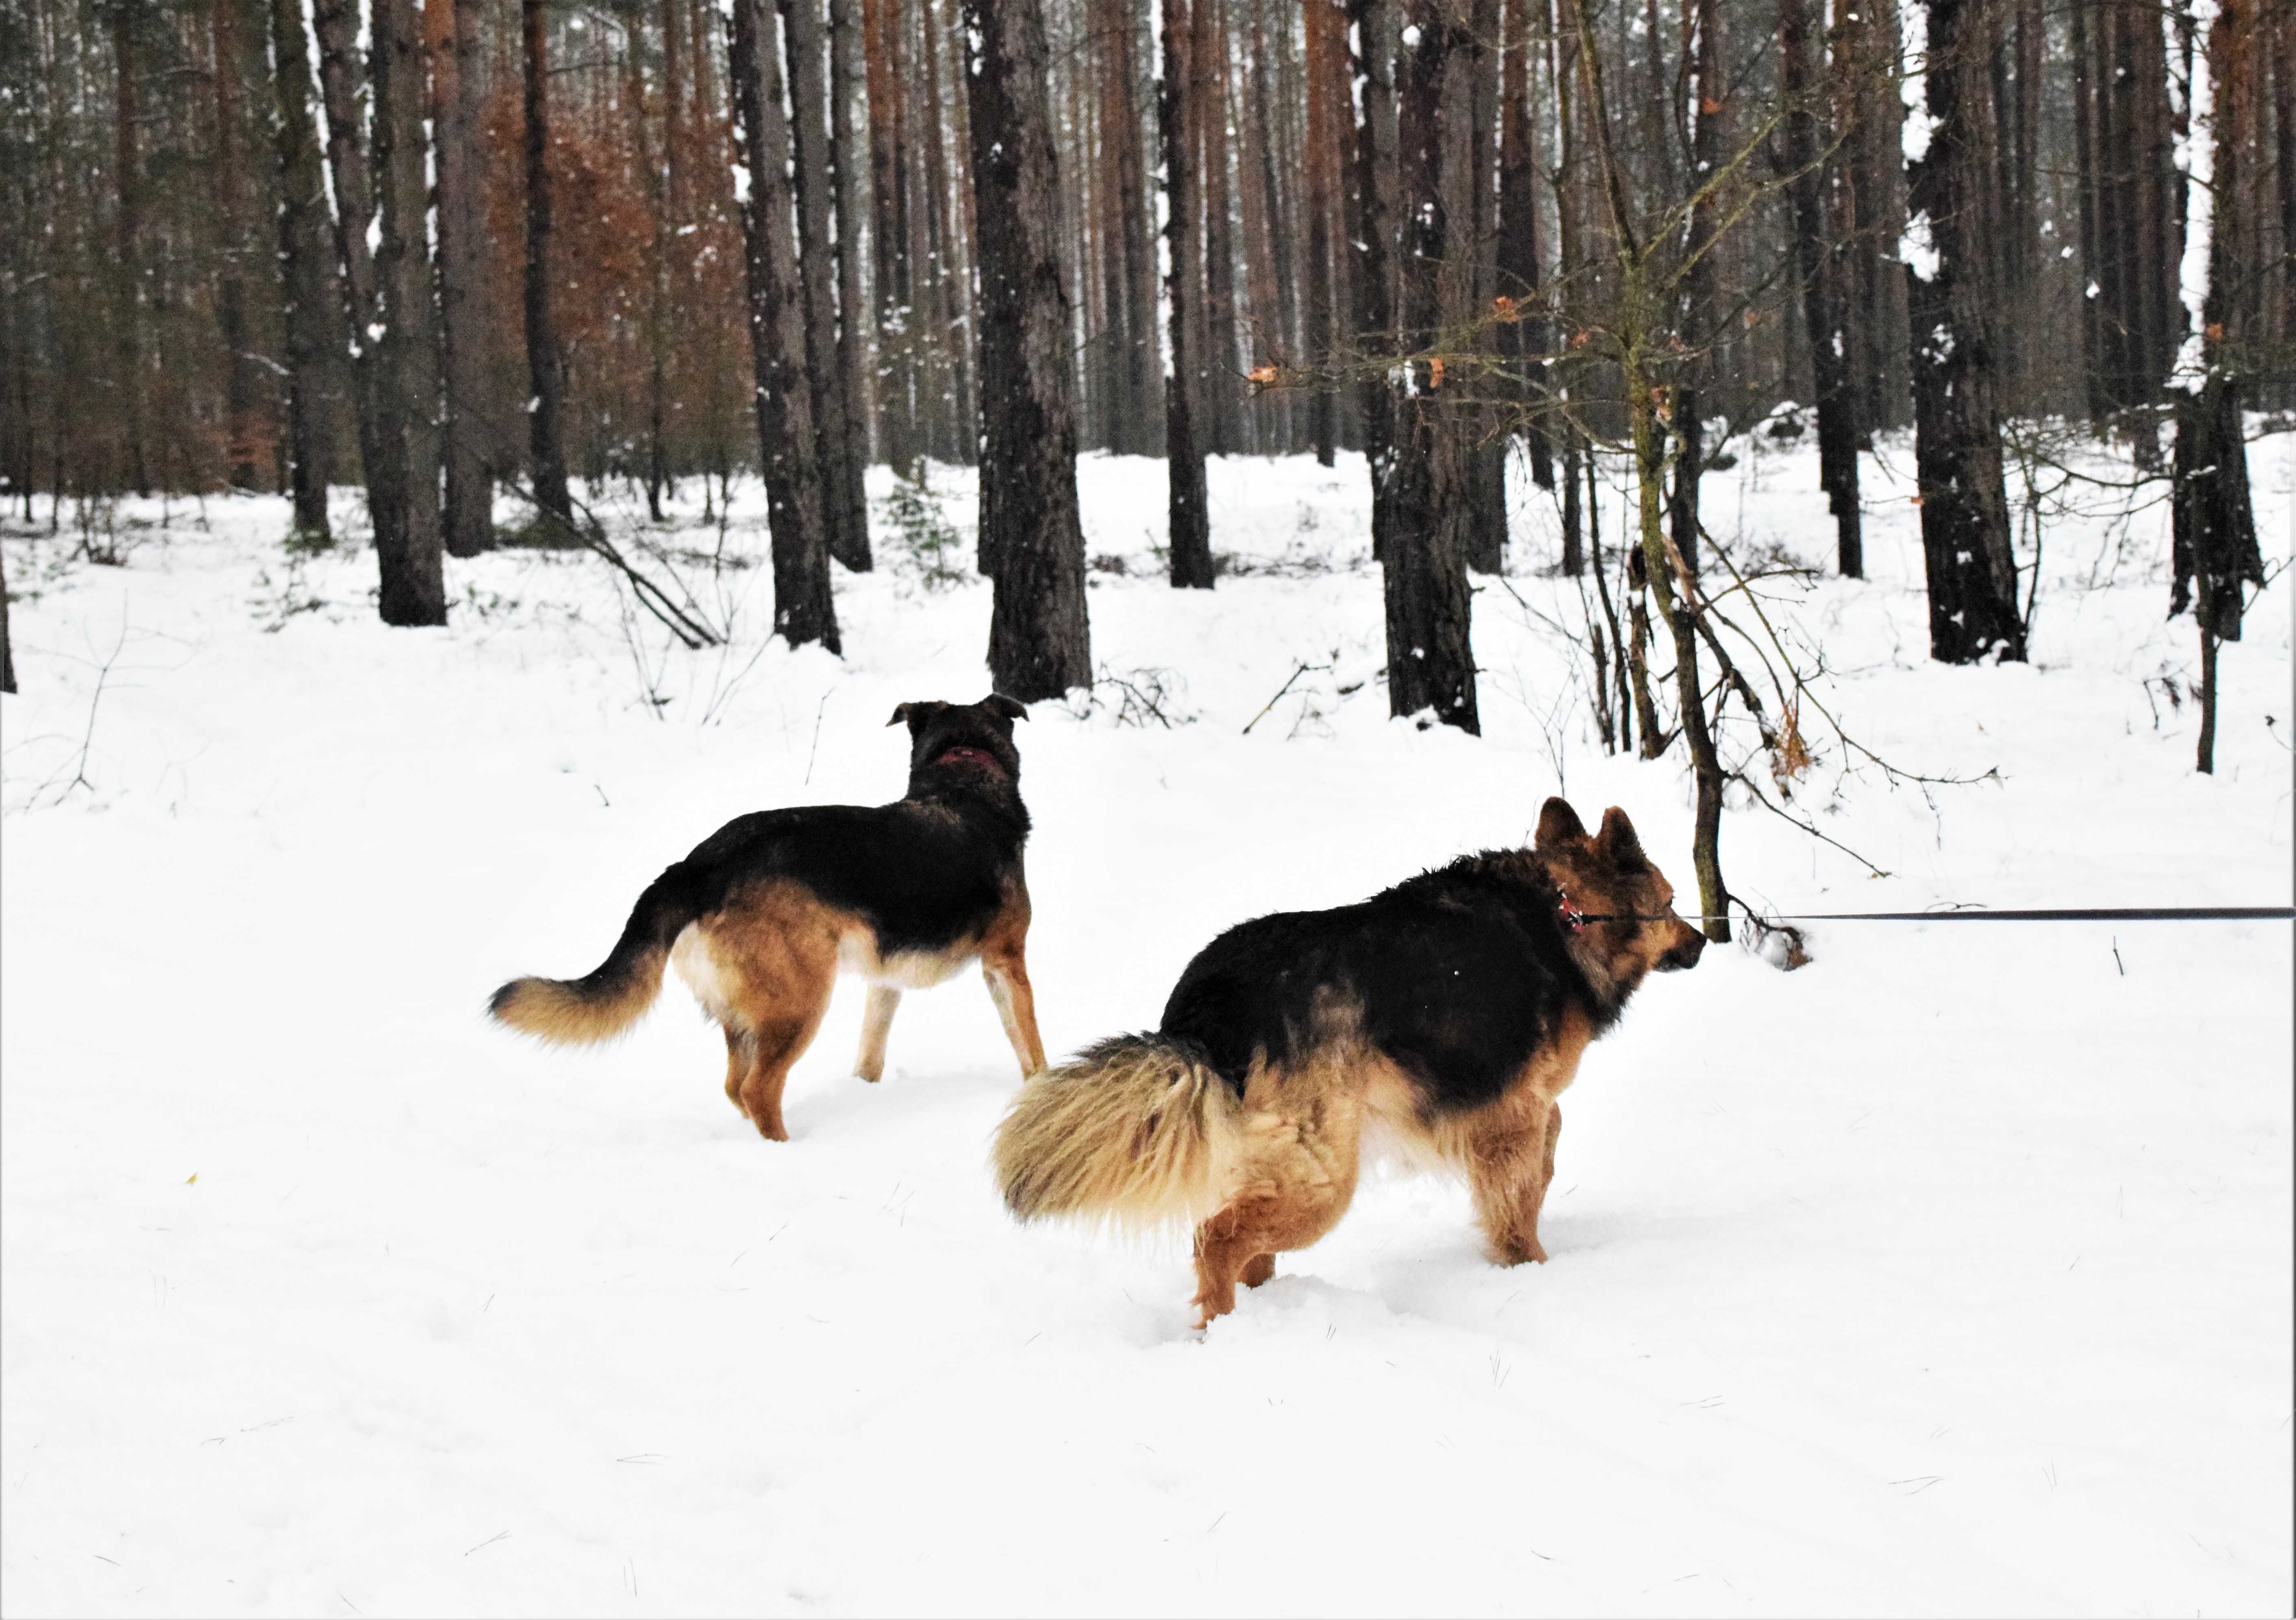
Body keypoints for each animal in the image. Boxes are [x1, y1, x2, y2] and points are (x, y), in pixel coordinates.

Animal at [498, 694, 1052, 1140]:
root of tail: (699, 864)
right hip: (799, 1004)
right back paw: (786, 1149)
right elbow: (1030, 1045)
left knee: (735, 1086)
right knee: (758, 1088)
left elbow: (870, 1051)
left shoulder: (885, 981)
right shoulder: (1005, 961)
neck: (963, 776)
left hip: (748, 1016)